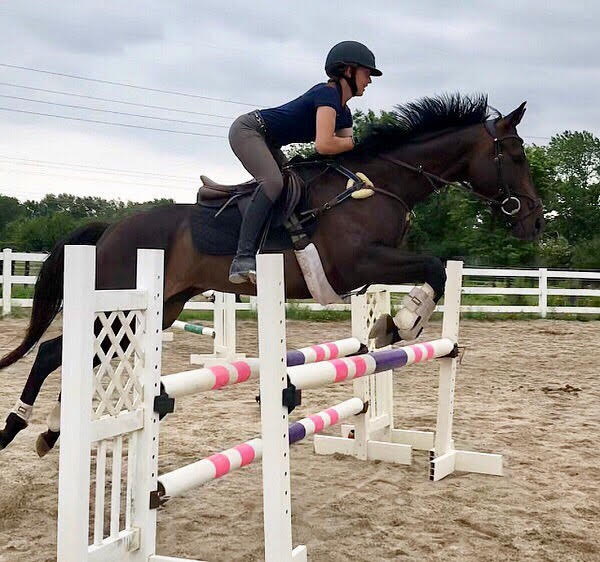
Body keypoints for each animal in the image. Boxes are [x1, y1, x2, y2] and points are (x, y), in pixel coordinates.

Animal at [0, 92, 544, 452]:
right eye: (516, 156)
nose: (535, 220)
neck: (377, 184)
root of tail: (111, 229)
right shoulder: (355, 264)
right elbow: (432, 267)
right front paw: (402, 324)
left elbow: (432, 273)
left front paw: (391, 326)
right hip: (119, 306)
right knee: (51, 353)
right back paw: (15, 427)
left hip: (153, 310)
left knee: (73, 355)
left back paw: (52, 429)